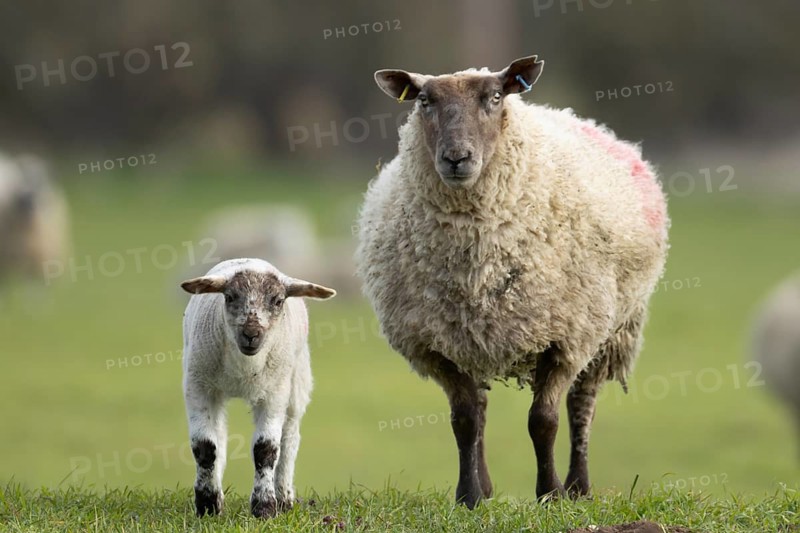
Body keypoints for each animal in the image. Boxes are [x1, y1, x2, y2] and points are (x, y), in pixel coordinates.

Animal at [180, 258, 336, 518]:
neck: (244, 369)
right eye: (230, 297)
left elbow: (266, 449)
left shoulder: (274, 394)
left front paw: (264, 507)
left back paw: (284, 497)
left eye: (278, 300)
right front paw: (208, 504)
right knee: (219, 436)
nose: (251, 334)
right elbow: (205, 447)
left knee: (289, 438)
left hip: (296, 382)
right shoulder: (198, 387)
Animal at [355, 55, 669, 507]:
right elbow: (465, 420)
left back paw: (579, 487)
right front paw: (468, 497)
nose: (457, 158)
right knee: (481, 410)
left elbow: (544, 420)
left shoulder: (564, 337)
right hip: (470, 333)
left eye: (495, 97)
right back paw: (486, 488)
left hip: (612, 329)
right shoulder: (437, 344)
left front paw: (550, 494)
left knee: (582, 404)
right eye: (424, 101)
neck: (477, 256)